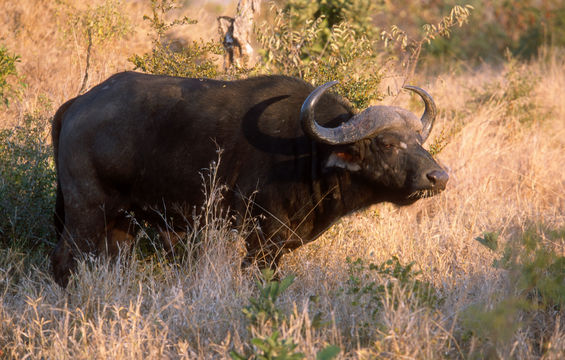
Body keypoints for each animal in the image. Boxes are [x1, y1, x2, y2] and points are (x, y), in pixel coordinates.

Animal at [51, 71, 450, 286]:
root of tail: (78, 104)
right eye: (387, 143)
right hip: (86, 210)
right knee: (65, 259)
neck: (308, 153)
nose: (439, 176)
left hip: (123, 223)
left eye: (419, 140)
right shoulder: (262, 241)